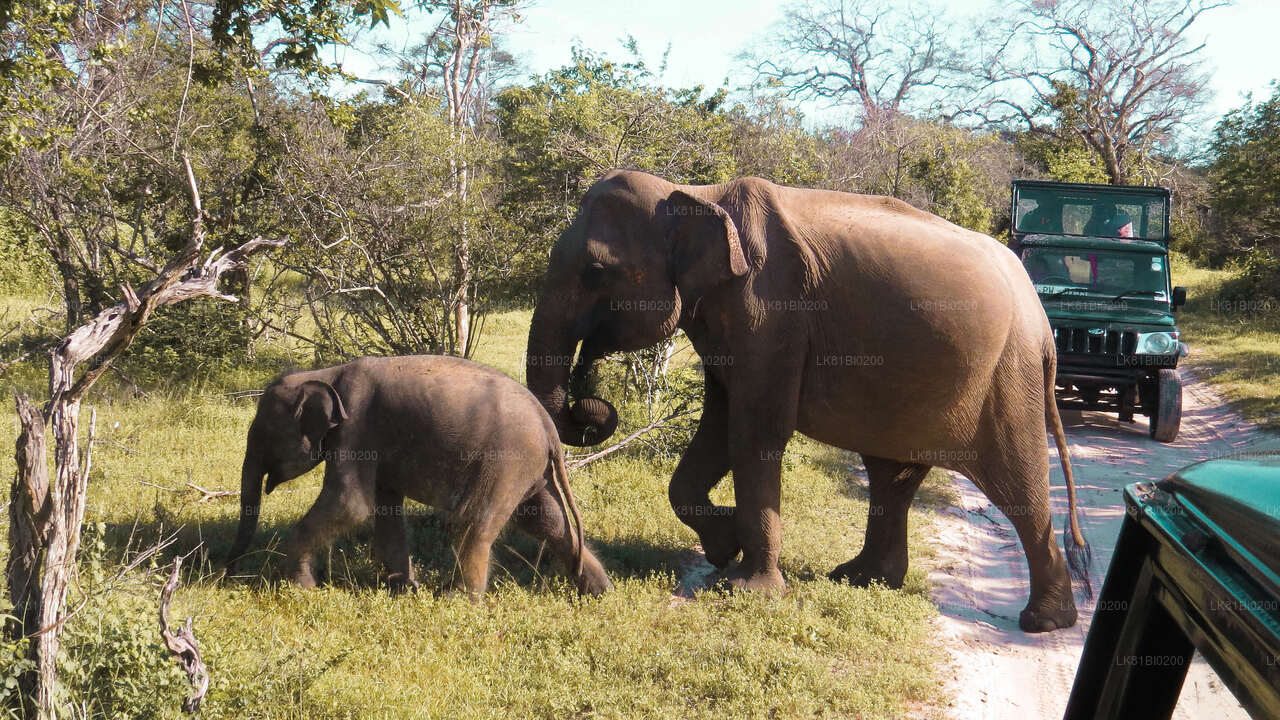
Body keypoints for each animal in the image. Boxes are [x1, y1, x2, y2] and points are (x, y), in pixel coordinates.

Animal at [227, 353, 611, 594]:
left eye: (261, 435)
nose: (227, 571)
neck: (326, 374)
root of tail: (549, 427)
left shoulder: (355, 429)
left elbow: (349, 504)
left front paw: (300, 587)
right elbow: (383, 510)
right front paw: (402, 589)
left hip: (506, 458)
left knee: (474, 521)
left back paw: (456, 599)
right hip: (527, 467)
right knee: (546, 520)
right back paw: (598, 590)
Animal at [527, 167, 1090, 627]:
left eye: (595, 272)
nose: (590, 404)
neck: (695, 194)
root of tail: (1042, 321)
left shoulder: (770, 310)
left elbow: (754, 433)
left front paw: (748, 590)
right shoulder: (732, 319)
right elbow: (719, 426)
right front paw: (724, 549)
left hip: (1007, 378)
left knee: (1017, 484)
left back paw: (1044, 622)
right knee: (892, 477)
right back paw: (861, 578)